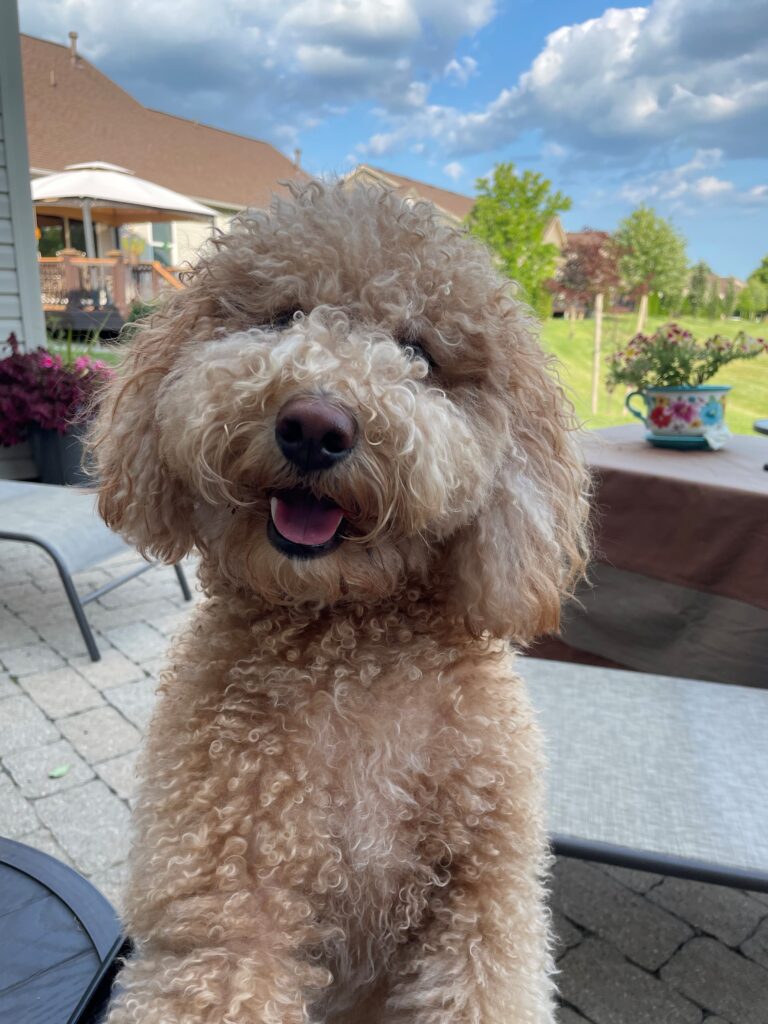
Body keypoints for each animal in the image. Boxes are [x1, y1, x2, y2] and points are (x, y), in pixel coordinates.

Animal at [93, 180, 593, 1019]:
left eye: (419, 352)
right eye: (283, 315)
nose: (314, 424)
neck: (348, 646)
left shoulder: (486, 894)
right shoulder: (229, 909)